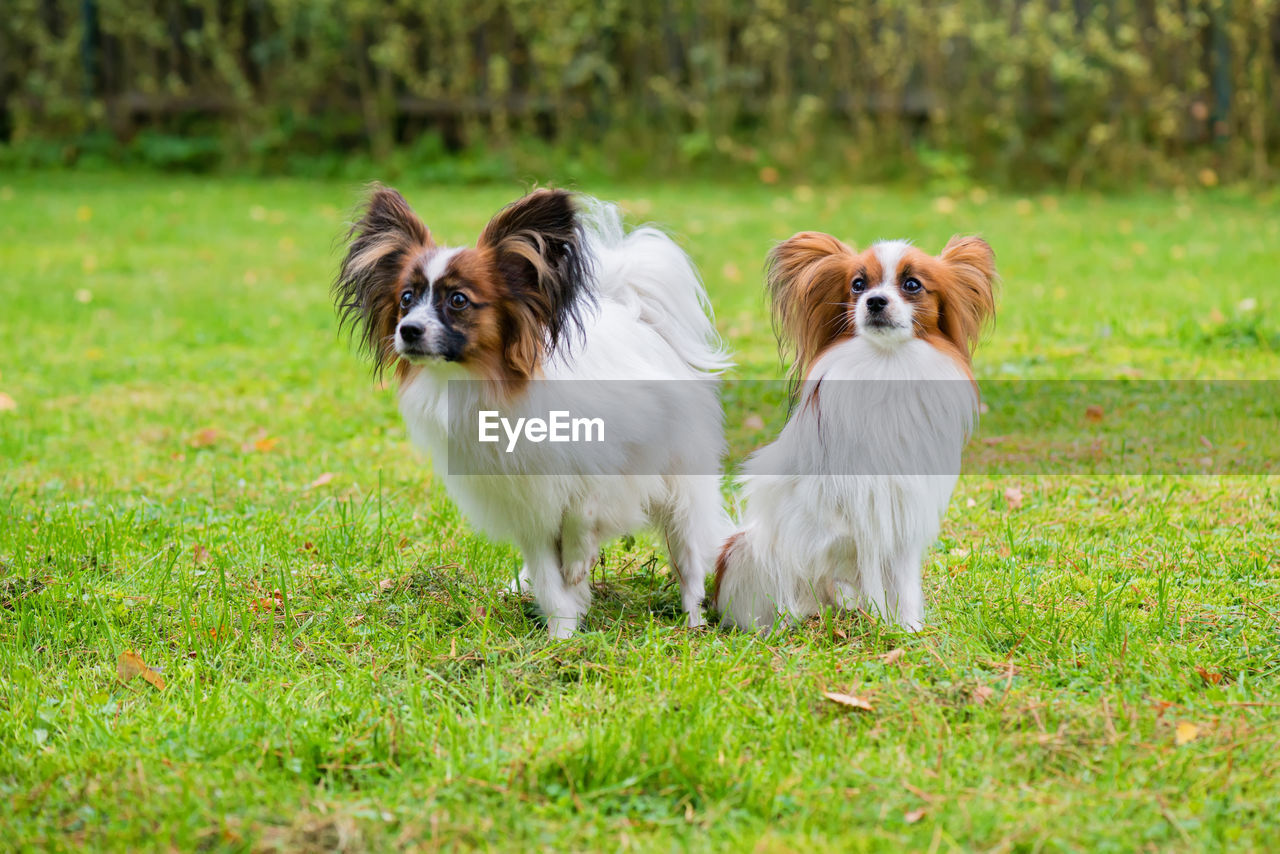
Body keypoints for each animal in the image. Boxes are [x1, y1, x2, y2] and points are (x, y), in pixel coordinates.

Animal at [335, 188, 732, 640]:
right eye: (405, 299)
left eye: (458, 300)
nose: (408, 331)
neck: (488, 386)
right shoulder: (526, 504)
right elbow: (549, 579)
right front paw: (561, 637)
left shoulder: (619, 458)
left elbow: (584, 507)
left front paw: (577, 559)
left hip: (683, 491)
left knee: (689, 561)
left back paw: (693, 621)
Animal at [711, 230, 998, 632]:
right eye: (858, 285)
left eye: (912, 284)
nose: (874, 301)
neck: (887, 366)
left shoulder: (902, 515)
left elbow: (901, 581)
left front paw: (908, 628)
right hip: (746, 551)